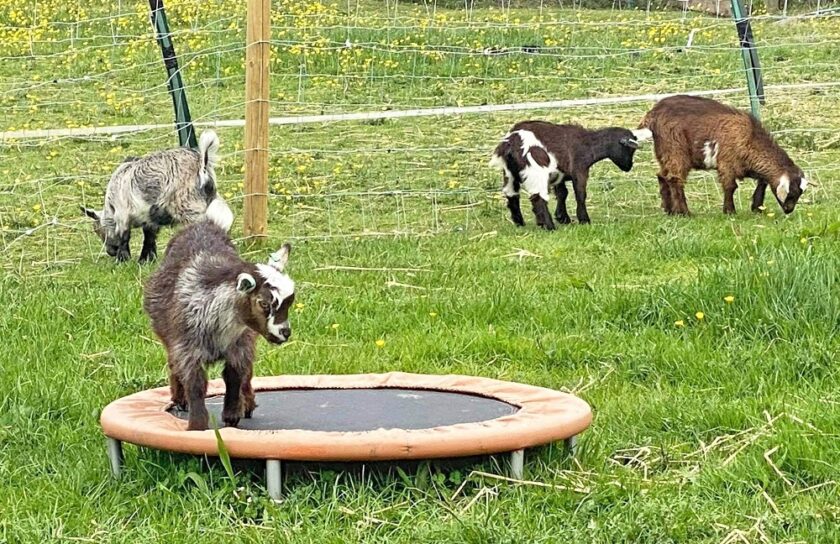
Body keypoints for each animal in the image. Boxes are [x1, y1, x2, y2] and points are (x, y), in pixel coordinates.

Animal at [81, 130, 234, 263]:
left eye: (98, 231)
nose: (110, 252)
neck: (110, 205)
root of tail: (202, 164)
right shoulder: (149, 219)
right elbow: (149, 238)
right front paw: (146, 260)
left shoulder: (122, 214)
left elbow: (125, 237)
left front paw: (123, 260)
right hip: (211, 201)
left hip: (189, 208)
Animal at [143, 221, 295, 431]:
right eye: (264, 303)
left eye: (290, 302)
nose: (284, 333)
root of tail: (203, 223)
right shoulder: (187, 350)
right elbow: (196, 384)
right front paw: (196, 426)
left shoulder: (240, 346)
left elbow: (234, 376)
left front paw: (231, 415)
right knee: (173, 365)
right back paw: (180, 400)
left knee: (247, 375)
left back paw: (247, 403)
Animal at [489, 121, 646, 229]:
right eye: (630, 150)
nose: (628, 167)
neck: (587, 143)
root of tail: (510, 142)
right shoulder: (580, 170)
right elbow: (580, 194)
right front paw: (584, 220)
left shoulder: (560, 174)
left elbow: (562, 193)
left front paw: (562, 217)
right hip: (536, 171)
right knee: (538, 198)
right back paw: (549, 226)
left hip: (509, 173)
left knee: (511, 195)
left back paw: (520, 223)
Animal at [637, 94, 809, 215]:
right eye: (792, 193)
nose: (789, 210)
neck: (750, 138)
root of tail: (652, 115)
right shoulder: (727, 163)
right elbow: (730, 186)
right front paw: (730, 211)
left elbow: (762, 182)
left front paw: (757, 207)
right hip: (675, 149)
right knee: (675, 179)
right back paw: (684, 212)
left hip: (663, 152)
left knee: (662, 176)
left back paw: (669, 210)